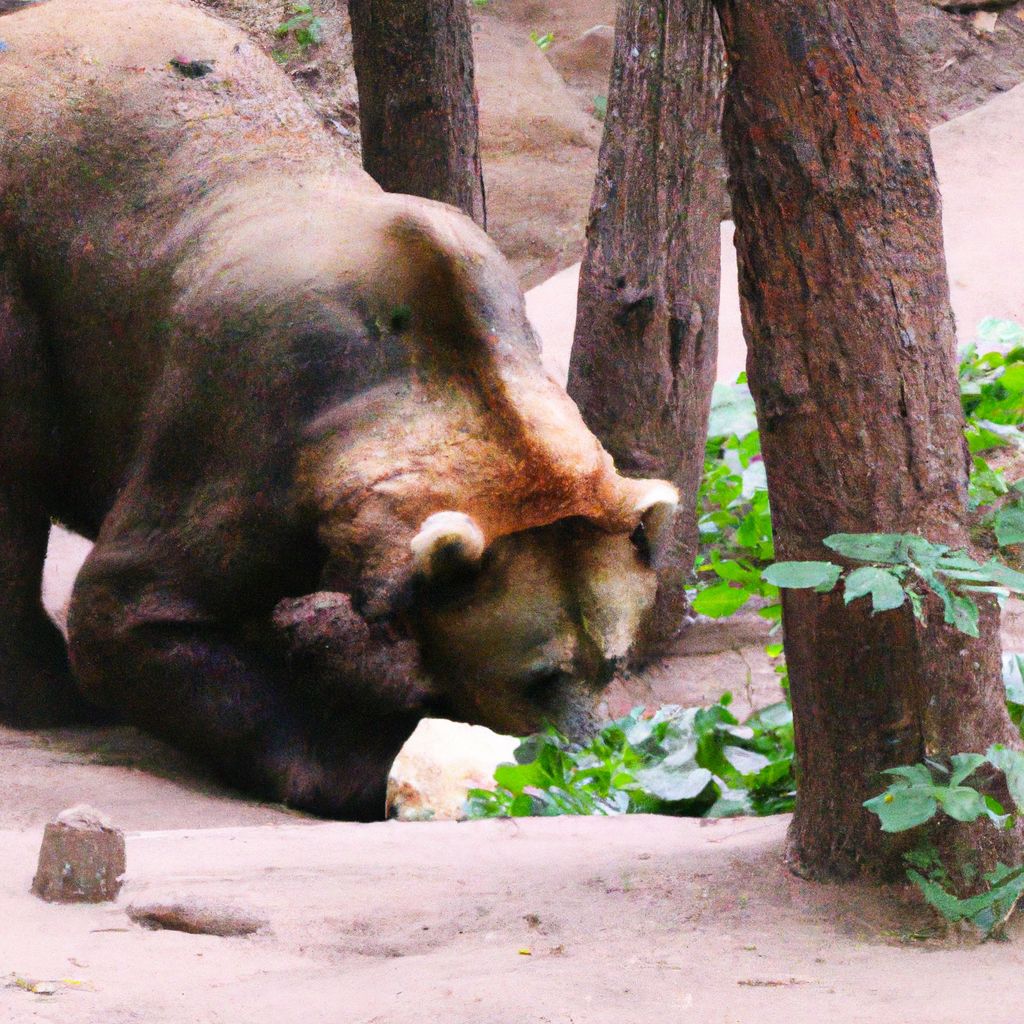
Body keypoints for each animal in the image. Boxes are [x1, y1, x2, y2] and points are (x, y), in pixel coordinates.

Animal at [2, 0, 679, 815]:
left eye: (611, 661)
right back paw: (41, 689)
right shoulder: (247, 428)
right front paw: (356, 763)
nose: (583, 753)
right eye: (537, 675)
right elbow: (131, 608)